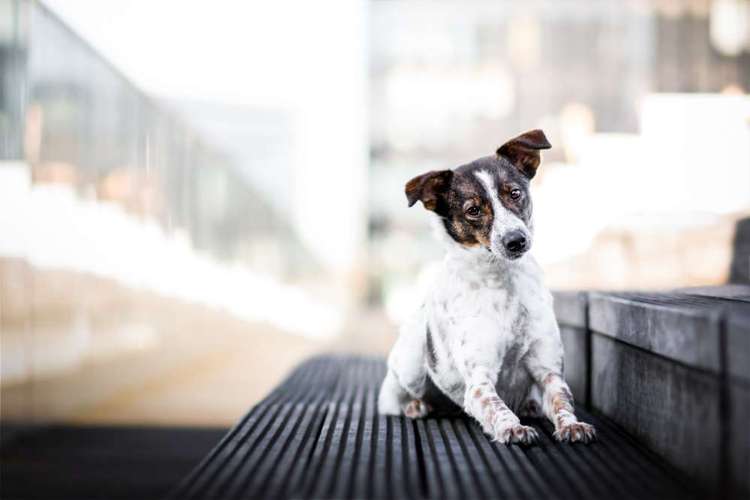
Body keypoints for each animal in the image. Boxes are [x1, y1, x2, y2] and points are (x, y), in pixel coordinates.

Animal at [382, 130, 600, 446]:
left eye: (515, 193)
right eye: (473, 210)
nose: (516, 240)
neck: (503, 278)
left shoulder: (547, 370)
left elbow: (562, 400)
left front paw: (572, 425)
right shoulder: (479, 380)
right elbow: (496, 406)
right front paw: (513, 428)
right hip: (411, 361)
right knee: (394, 397)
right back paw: (417, 406)